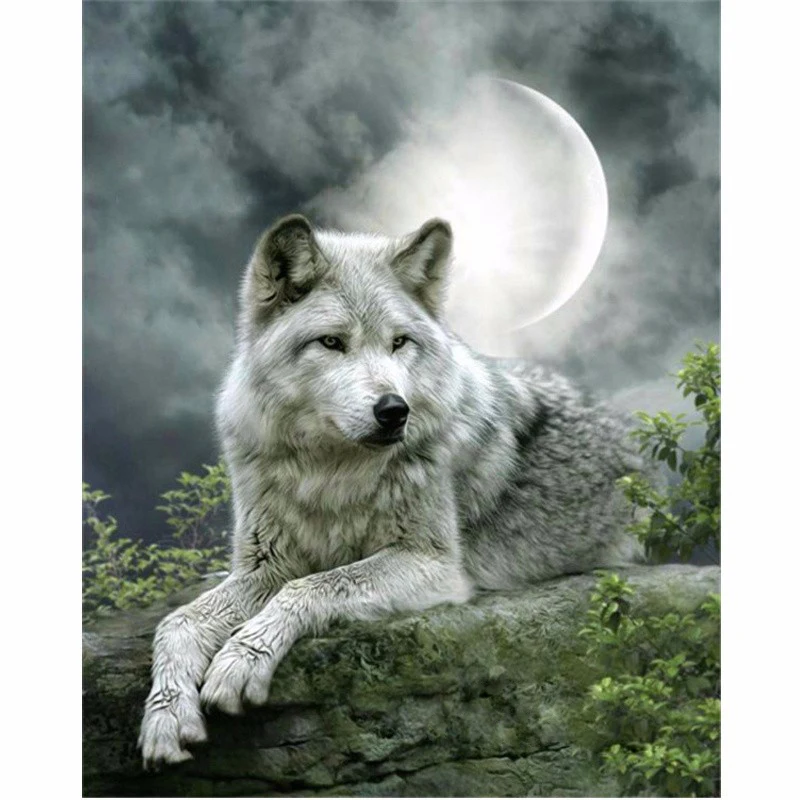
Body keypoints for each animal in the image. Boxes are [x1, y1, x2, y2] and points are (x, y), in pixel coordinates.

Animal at [138, 214, 645, 768]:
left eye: (399, 342)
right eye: (332, 343)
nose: (394, 410)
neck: (330, 473)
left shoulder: (433, 564)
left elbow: (313, 586)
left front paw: (240, 660)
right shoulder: (265, 565)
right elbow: (177, 622)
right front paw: (166, 717)